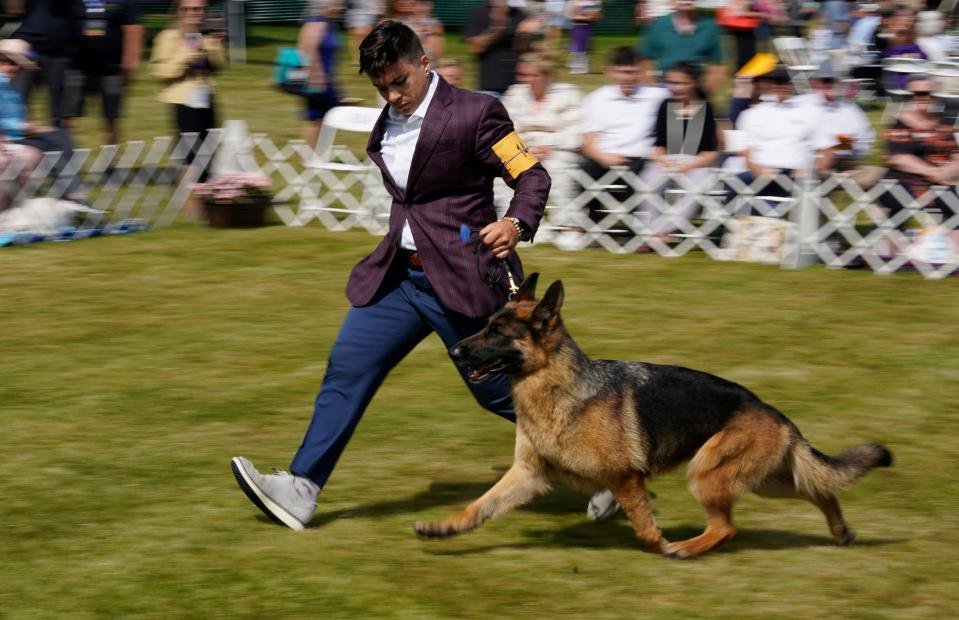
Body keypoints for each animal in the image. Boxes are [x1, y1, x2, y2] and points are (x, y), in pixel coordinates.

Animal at [412, 274, 892, 556]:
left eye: (497, 332)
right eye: (485, 324)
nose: (455, 350)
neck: (556, 384)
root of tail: (774, 414)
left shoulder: (627, 479)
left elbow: (644, 527)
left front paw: (659, 543)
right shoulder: (527, 474)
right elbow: (479, 506)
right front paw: (444, 528)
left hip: (707, 473)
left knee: (727, 528)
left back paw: (688, 547)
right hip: (765, 479)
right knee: (820, 490)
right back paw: (841, 531)